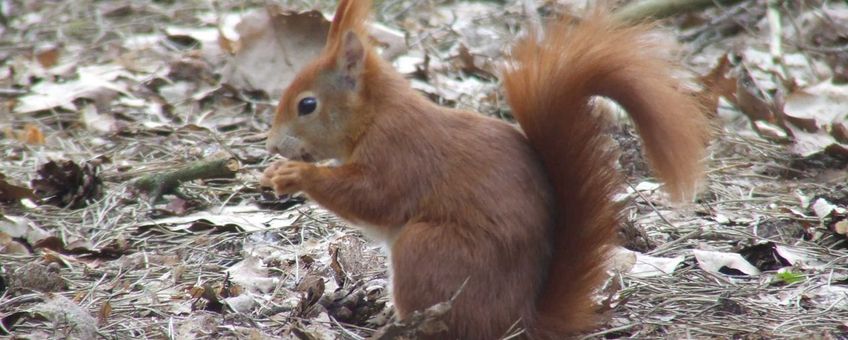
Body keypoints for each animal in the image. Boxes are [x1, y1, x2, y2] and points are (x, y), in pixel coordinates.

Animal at [258, 1, 708, 338]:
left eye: (307, 105)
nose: (272, 146)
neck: (376, 114)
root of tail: (519, 321)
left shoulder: (401, 153)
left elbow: (374, 198)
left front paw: (293, 175)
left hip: (427, 251)